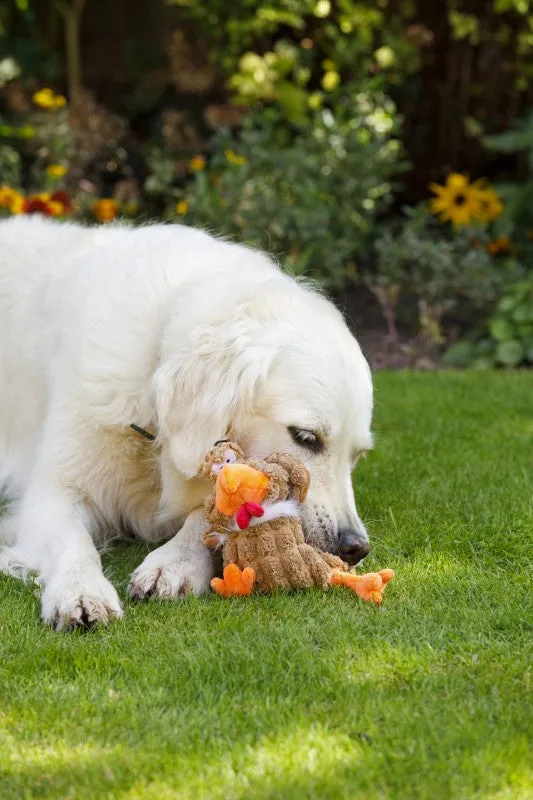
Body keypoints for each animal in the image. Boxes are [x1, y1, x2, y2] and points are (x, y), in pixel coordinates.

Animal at [0, 216, 372, 628]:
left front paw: (174, 562)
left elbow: (209, 515)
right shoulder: (53, 489)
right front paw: (80, 589)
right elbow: (73, 543)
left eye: (357, 456)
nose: (356, 547)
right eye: (306, 437)